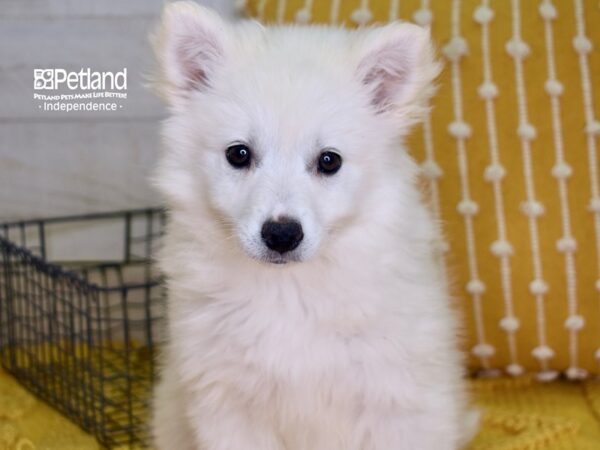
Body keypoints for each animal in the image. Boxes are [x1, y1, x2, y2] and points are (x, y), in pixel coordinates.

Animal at [151, 1, 474, 448]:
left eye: (329, 161)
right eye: (238, 154)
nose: (282, 234)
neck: (290, 291)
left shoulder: (396, 400)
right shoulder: (229, 404)